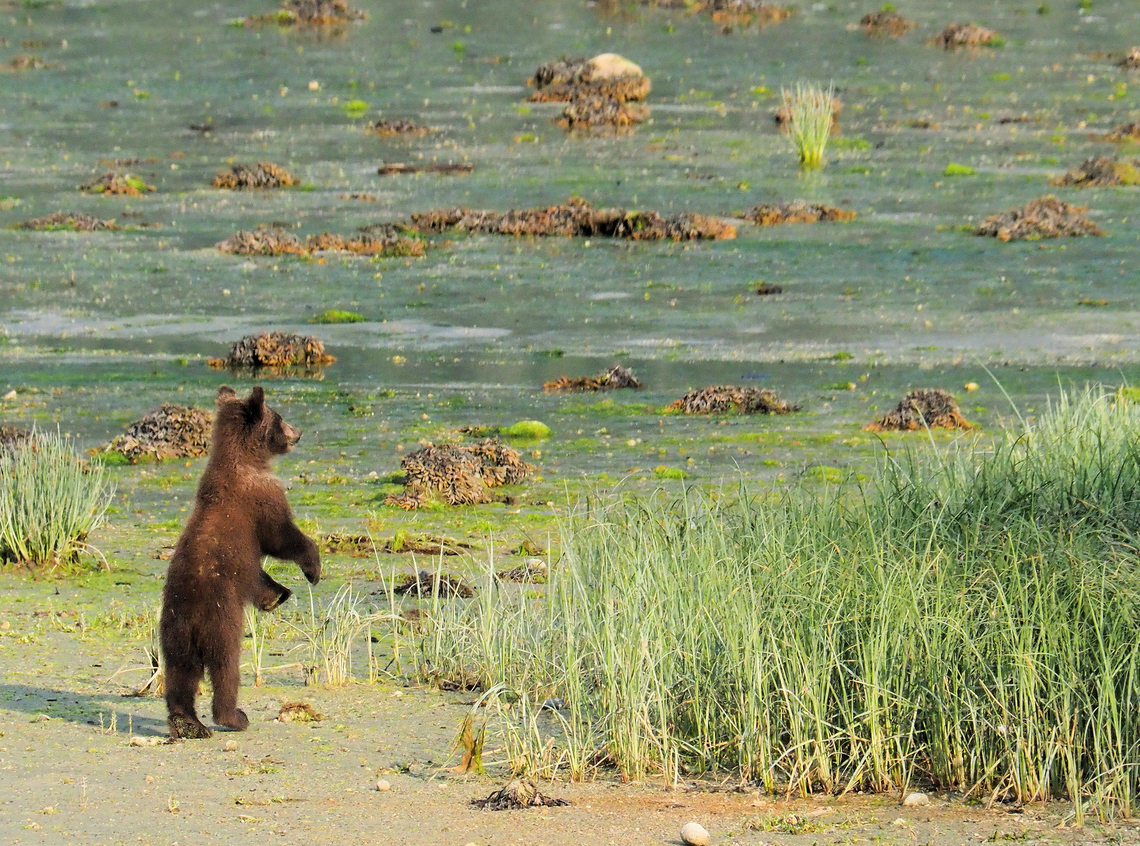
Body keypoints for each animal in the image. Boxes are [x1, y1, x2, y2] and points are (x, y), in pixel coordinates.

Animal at [160, 385, 321, 739]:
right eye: (279, 417)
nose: (299, 432)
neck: (246, 461)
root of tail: (192, 615)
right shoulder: (260, 497)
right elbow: (281, 536)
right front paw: (313, 568)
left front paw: (279, 594)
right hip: (222, 622)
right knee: (226, 669)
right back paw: (233, 716)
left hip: (174, 634)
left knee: (180, 675)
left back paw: (187, 722)